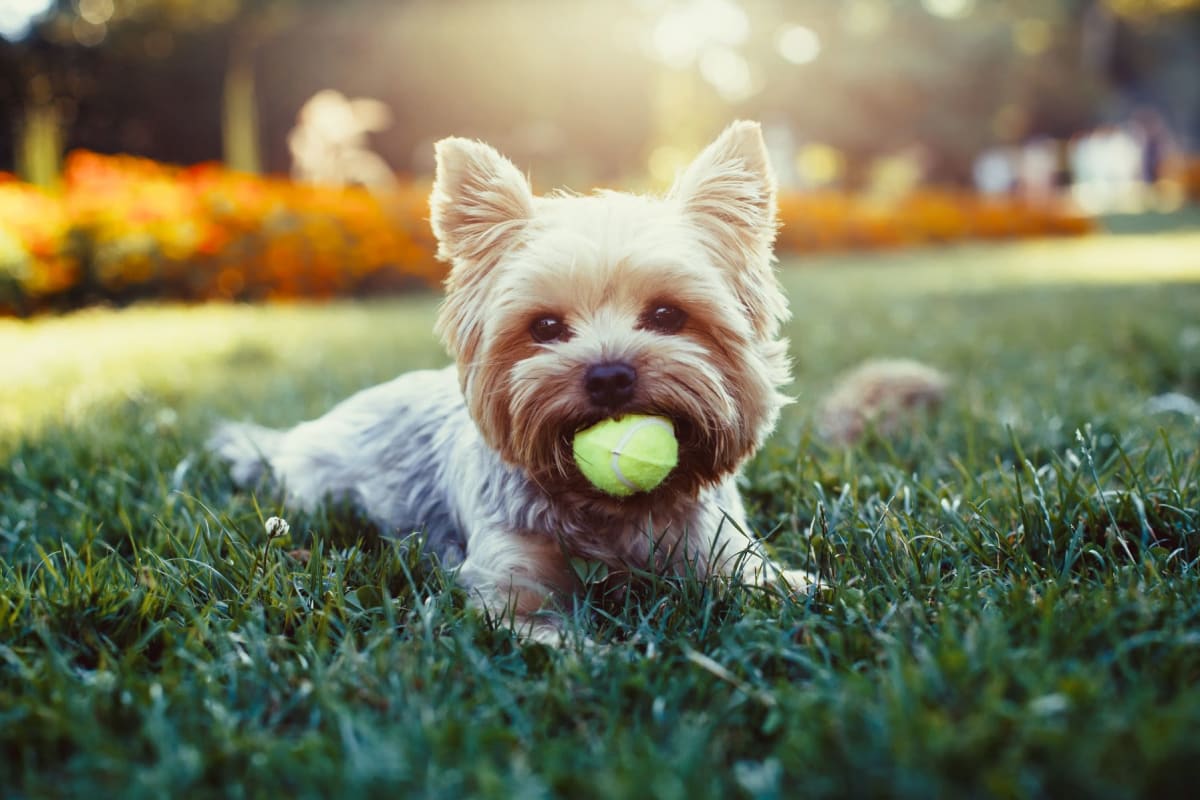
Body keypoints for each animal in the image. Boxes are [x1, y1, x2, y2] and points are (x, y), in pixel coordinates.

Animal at [213, 120, 816, 642]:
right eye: (545, 327)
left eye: (668, 315)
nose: (609, 375)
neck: (610, 510)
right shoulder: (510, 582)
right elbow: (547, 633)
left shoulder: (720, 549)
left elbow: (774, 584)